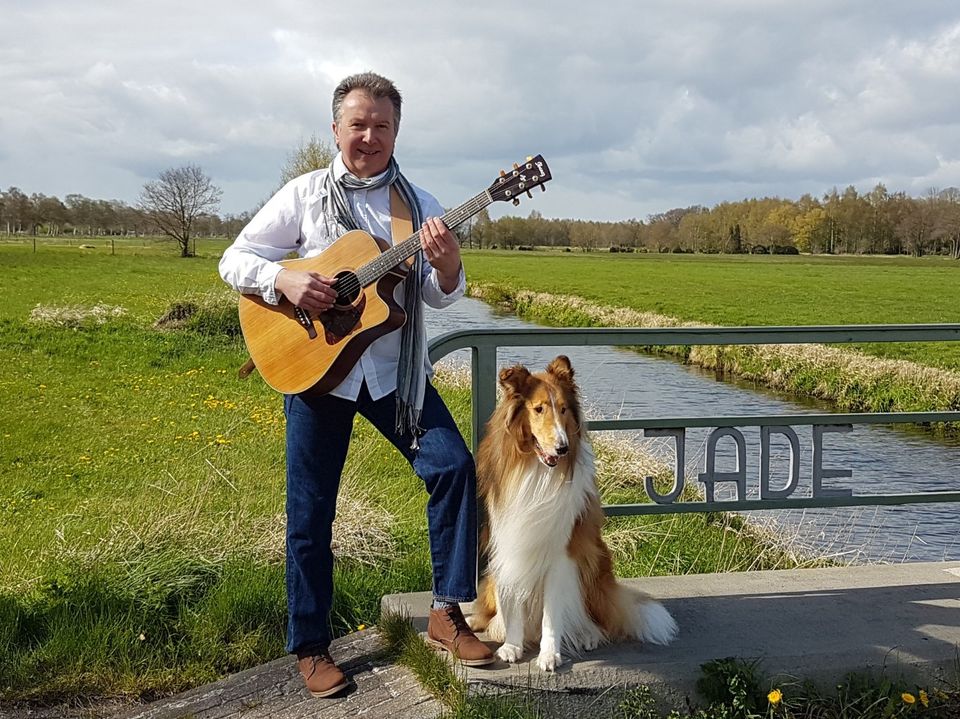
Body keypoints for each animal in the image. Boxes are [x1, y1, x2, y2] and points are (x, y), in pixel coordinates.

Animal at [468, 358, 680, 672]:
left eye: (564, 409)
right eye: (538, 409)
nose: (562, 447)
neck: (537, 471)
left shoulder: (562, 556)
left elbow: (552, 614)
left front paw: (549, 654)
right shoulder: (508, 546)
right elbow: (512, 603)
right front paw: (511, 646)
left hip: (593, 568)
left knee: (592, 620)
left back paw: (585, 635)